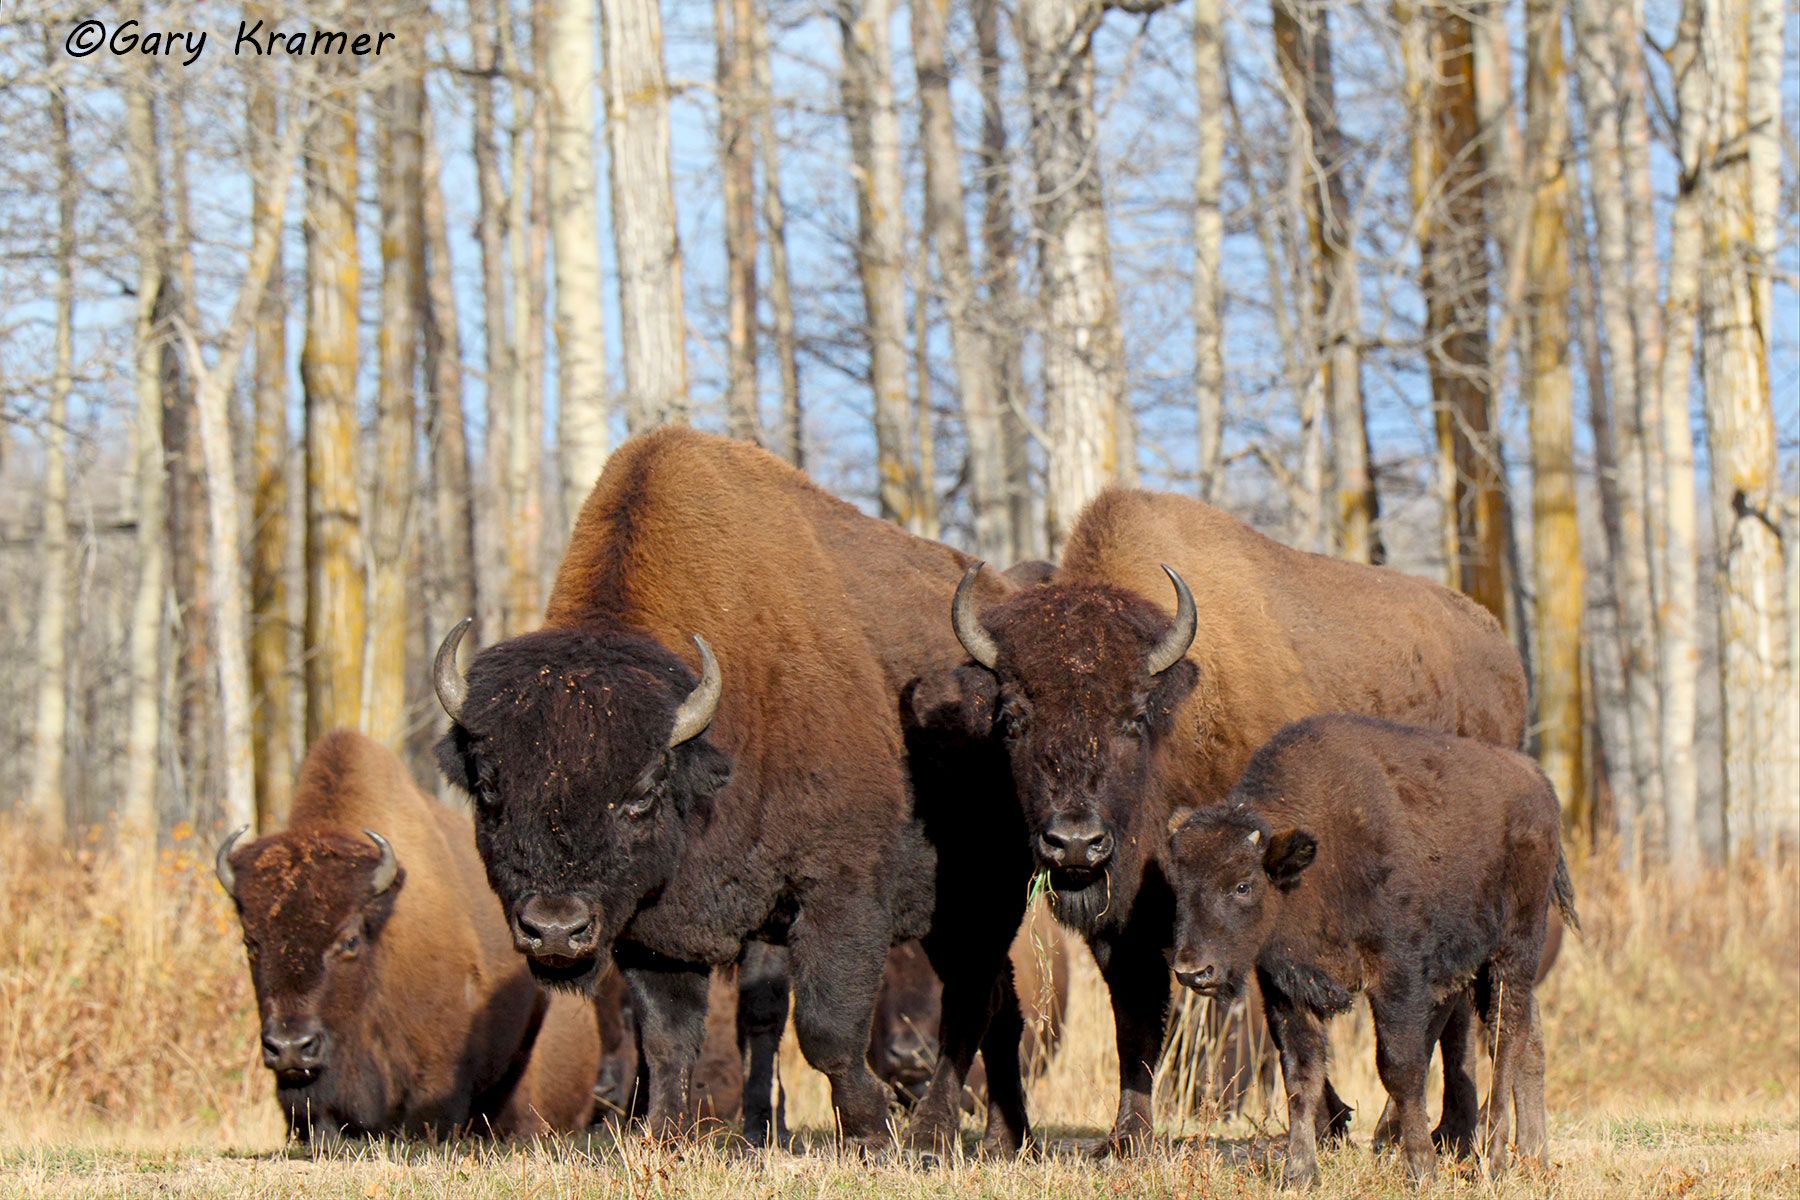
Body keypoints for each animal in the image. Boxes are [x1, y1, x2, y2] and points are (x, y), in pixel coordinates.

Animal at [432, 428, 1036, 1152]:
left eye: (641, 791)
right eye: (490, 790)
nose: (555, 929)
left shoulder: (840, 892)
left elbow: (828, 1029)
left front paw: (870, 1129)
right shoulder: (656, 928)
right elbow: (667, 1039)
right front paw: (662, 1137)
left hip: (979, 897)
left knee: (972, 1000)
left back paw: (932, 1133)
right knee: (998, 1000)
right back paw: (1007, 1135)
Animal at [918, 487, 1528, 1151]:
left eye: (1132, 717)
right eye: (1012, 719)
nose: (1075, 844)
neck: (1178, 718)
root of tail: (1503, 657)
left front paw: (1327, 1122)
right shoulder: (1129, 923)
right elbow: (1137, 1019)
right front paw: (1126, 1138)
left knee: (1456, 1003)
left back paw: (1442, 1130)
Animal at [1168, 715, 1577, 1184]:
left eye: (1242, 884)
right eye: (1179, 884)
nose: (1192, 971)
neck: (1318, 860)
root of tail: (1539, 785)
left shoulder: (1396, 976)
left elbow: (1400, 1067)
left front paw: (1422, 1169)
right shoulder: (1288, 989)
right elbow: (1301, 1074)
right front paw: (1300, 1172)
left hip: (1512, 951)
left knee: (1505, 1038)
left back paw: (1493, 1159)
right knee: (1527, 1039)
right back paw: (1533, 1158)